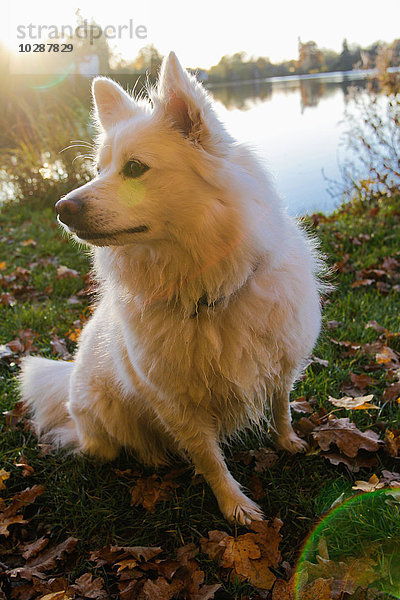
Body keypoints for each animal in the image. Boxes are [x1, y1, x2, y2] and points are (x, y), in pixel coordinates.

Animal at [20, 55, 324, 524]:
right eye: (98, 171)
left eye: (134, 168)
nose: (61, 208)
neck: (204, 286)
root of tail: (68, 380)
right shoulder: (177, 405)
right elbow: (210, 459)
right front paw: (235, 507)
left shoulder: (280, 360)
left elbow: (281, 407)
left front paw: (287, 442)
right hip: (107, 418)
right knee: (122, 444)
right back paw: (153, 457)